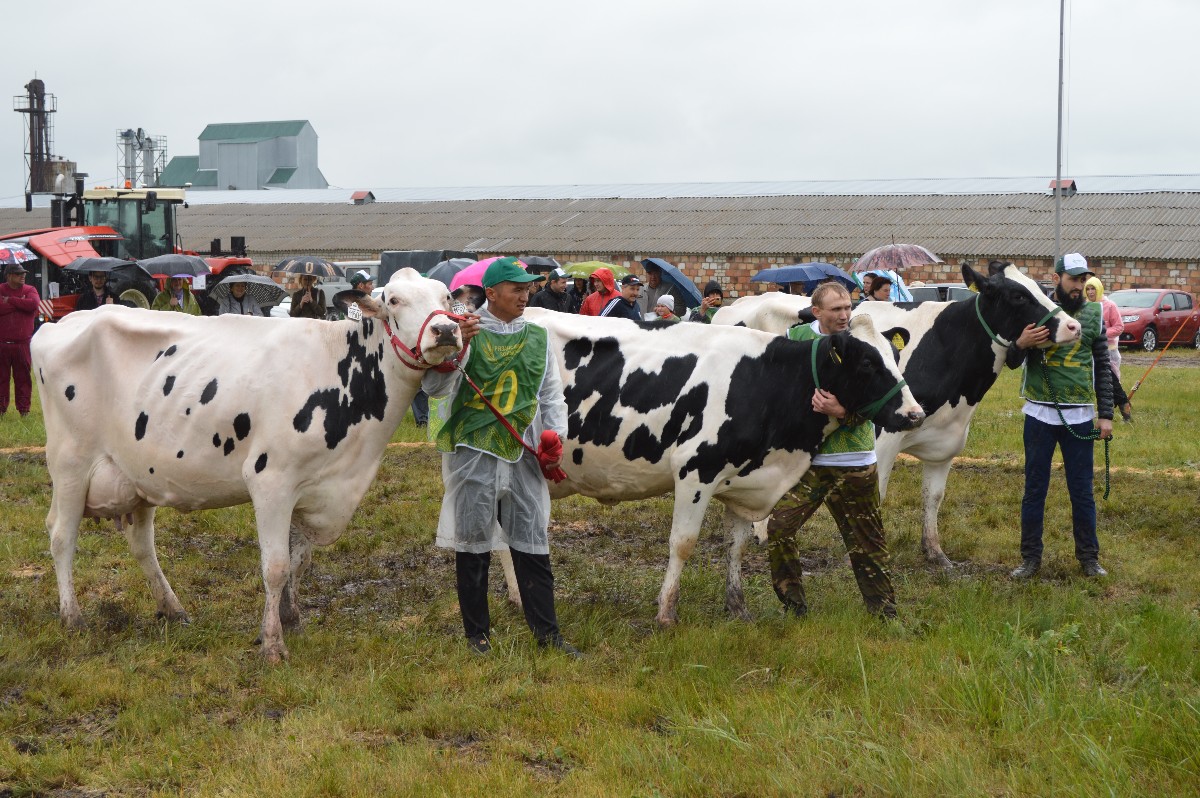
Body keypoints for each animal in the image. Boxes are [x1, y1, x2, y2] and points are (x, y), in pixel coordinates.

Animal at [32, 267, 463, 657]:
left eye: (446, 298)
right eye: (394, 300)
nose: (445, 331)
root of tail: (58, 324)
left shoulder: (315, 486)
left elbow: (297, 561)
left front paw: (292, 619)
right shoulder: (271, 480)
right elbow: (275, 566)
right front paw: (272, 643)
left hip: (137, 473)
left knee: (141, 545)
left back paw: (172, 608)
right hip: (71, 464)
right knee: (61, 536)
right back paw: (73, 618)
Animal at [520, 307, 921, 624]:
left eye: (894, 356)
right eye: (867, 363)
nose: (914, 414)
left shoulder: (745, 484)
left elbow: (736, 547)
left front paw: (738, 609)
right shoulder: (695, 470)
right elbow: (682, 543)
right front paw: (666, 613)